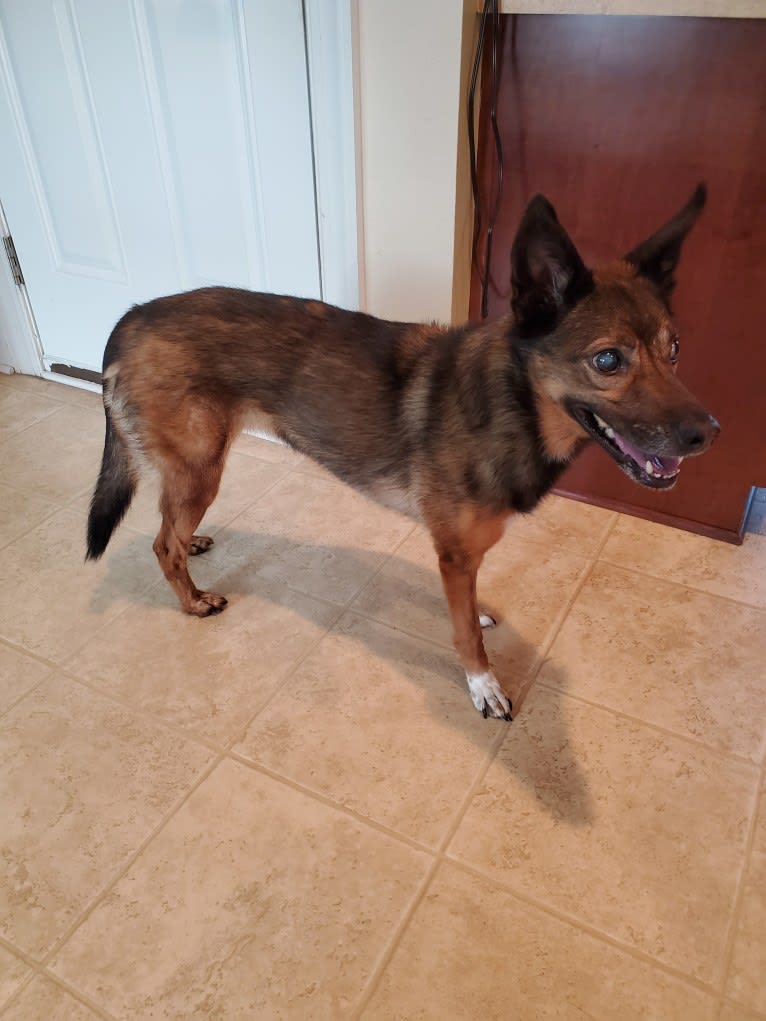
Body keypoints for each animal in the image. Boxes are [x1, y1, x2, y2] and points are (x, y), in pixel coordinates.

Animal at [83, 187, 719, 722]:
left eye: (675, 350)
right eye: (608, 361)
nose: (709, 433)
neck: (510, 402)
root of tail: (132, 316)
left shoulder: (466, 558)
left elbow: (470, 606)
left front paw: (479, 615)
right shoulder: (454, 555)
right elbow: (467, 636)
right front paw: (483, 685)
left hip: (193, 472)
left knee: (170, 527)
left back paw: (193, 545)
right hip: (201, 467)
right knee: (161, 542)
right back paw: (192, 601)